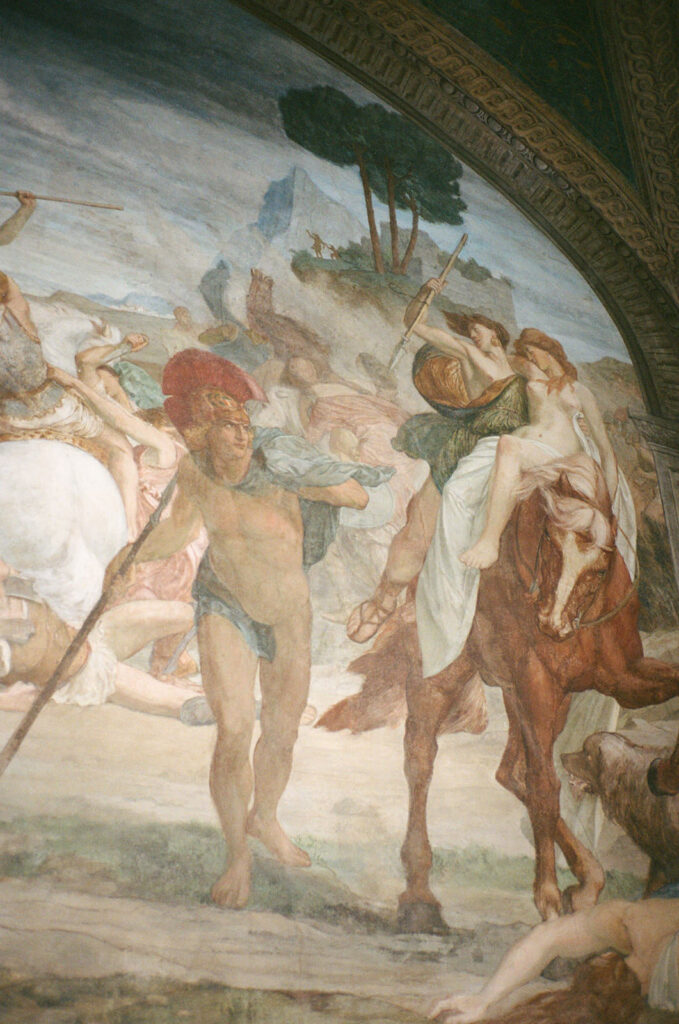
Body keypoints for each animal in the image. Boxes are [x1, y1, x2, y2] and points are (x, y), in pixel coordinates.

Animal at [394, 452, 679, 931]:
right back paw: (419, 895)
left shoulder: (626, 680)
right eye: (550, 541)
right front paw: (546, 896)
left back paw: (588, 880)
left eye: (600, 565)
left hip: (532, 700)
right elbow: (545, 785)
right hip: (447, 678)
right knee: (421, 758)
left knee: (511, 771)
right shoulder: (536, 683)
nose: (552, 625)